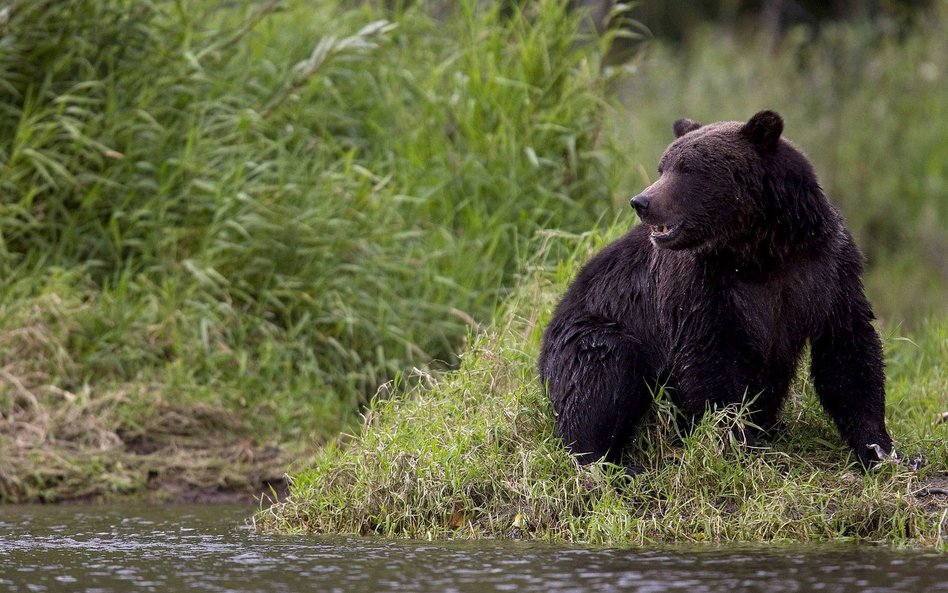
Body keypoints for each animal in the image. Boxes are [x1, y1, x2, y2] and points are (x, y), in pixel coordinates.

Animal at [540, 111, 896, 470]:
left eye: (686, 169)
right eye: (663, 166)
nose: (642, 201)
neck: (760, 251)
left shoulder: (825, 269)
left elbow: (847, 351)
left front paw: (879, 448)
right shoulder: (700, 286)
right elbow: (710, 362)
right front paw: (742, 444)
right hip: (589, 331)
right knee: (603, 372)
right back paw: (609, 461)